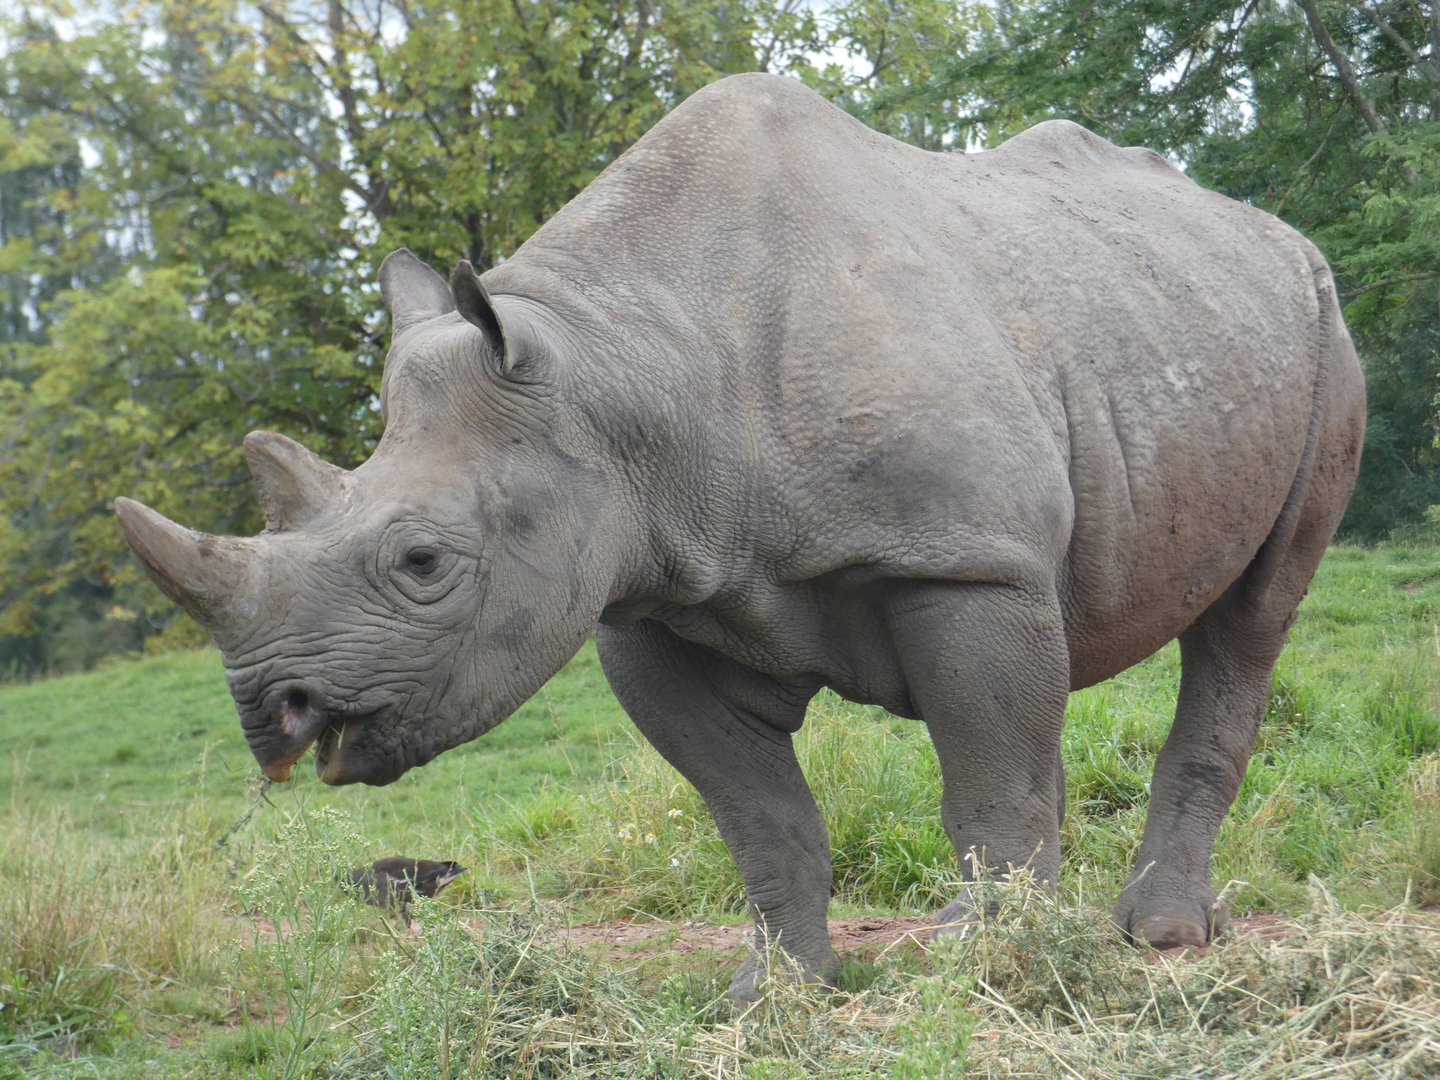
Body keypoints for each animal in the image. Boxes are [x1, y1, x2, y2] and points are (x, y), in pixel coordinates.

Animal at [116, 73, 1364, 999]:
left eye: (421, 564)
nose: (271, 715)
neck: (620, 368)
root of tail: (1263, 226)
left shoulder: (967, 562)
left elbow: (989, 777)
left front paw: (989, 965)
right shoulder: (654, 598)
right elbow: (762, 818)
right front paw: (775, 997)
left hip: (1317, 323)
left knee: (1251, 621)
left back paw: (1158, 937)